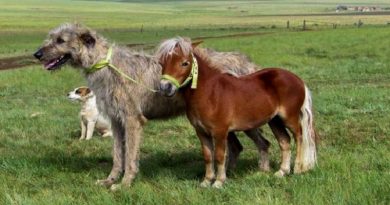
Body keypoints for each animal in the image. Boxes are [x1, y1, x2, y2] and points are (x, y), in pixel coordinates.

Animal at [156, 37, 316, 188]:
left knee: (299, 137)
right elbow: (207, 156)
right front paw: (206, 181)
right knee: (284, 141)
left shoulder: (220, 132)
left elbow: (219, 156)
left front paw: (218, 182)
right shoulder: (201, 132)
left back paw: (298, 169)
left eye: (185, 63)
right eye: (161, 63)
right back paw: (282, 171)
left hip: (289, 118)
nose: (165, 88)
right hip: (274, 120)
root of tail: (298, 80)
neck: (210, 92)